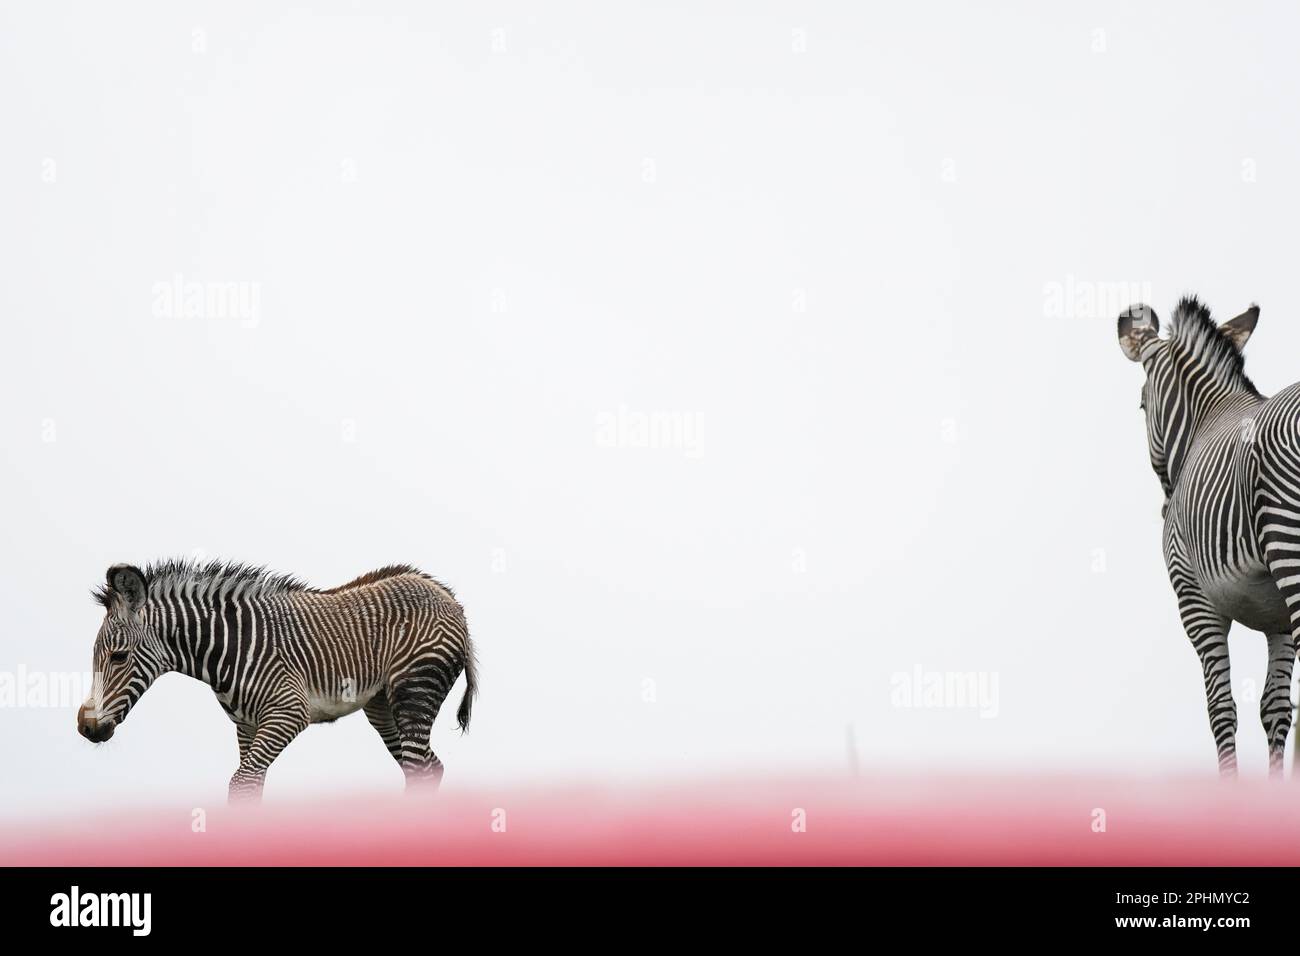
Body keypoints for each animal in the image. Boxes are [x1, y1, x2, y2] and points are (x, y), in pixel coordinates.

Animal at [74, 561, 478, 801]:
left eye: (118, 657)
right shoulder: (246, 725)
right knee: (428, 768)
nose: (85, 726)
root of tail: (448, 597)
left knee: (420, 769)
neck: (229, 646)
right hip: (383, 707)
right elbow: (249, 786)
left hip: (416, 688)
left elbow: (242, 783)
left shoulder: (287, 712)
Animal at [1118, 297, 1300, 780]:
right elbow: (1276, 709)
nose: (1166, 509)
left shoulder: (1195, 601)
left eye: (1141, 405)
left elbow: (1221, 708)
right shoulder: (1278, 619)